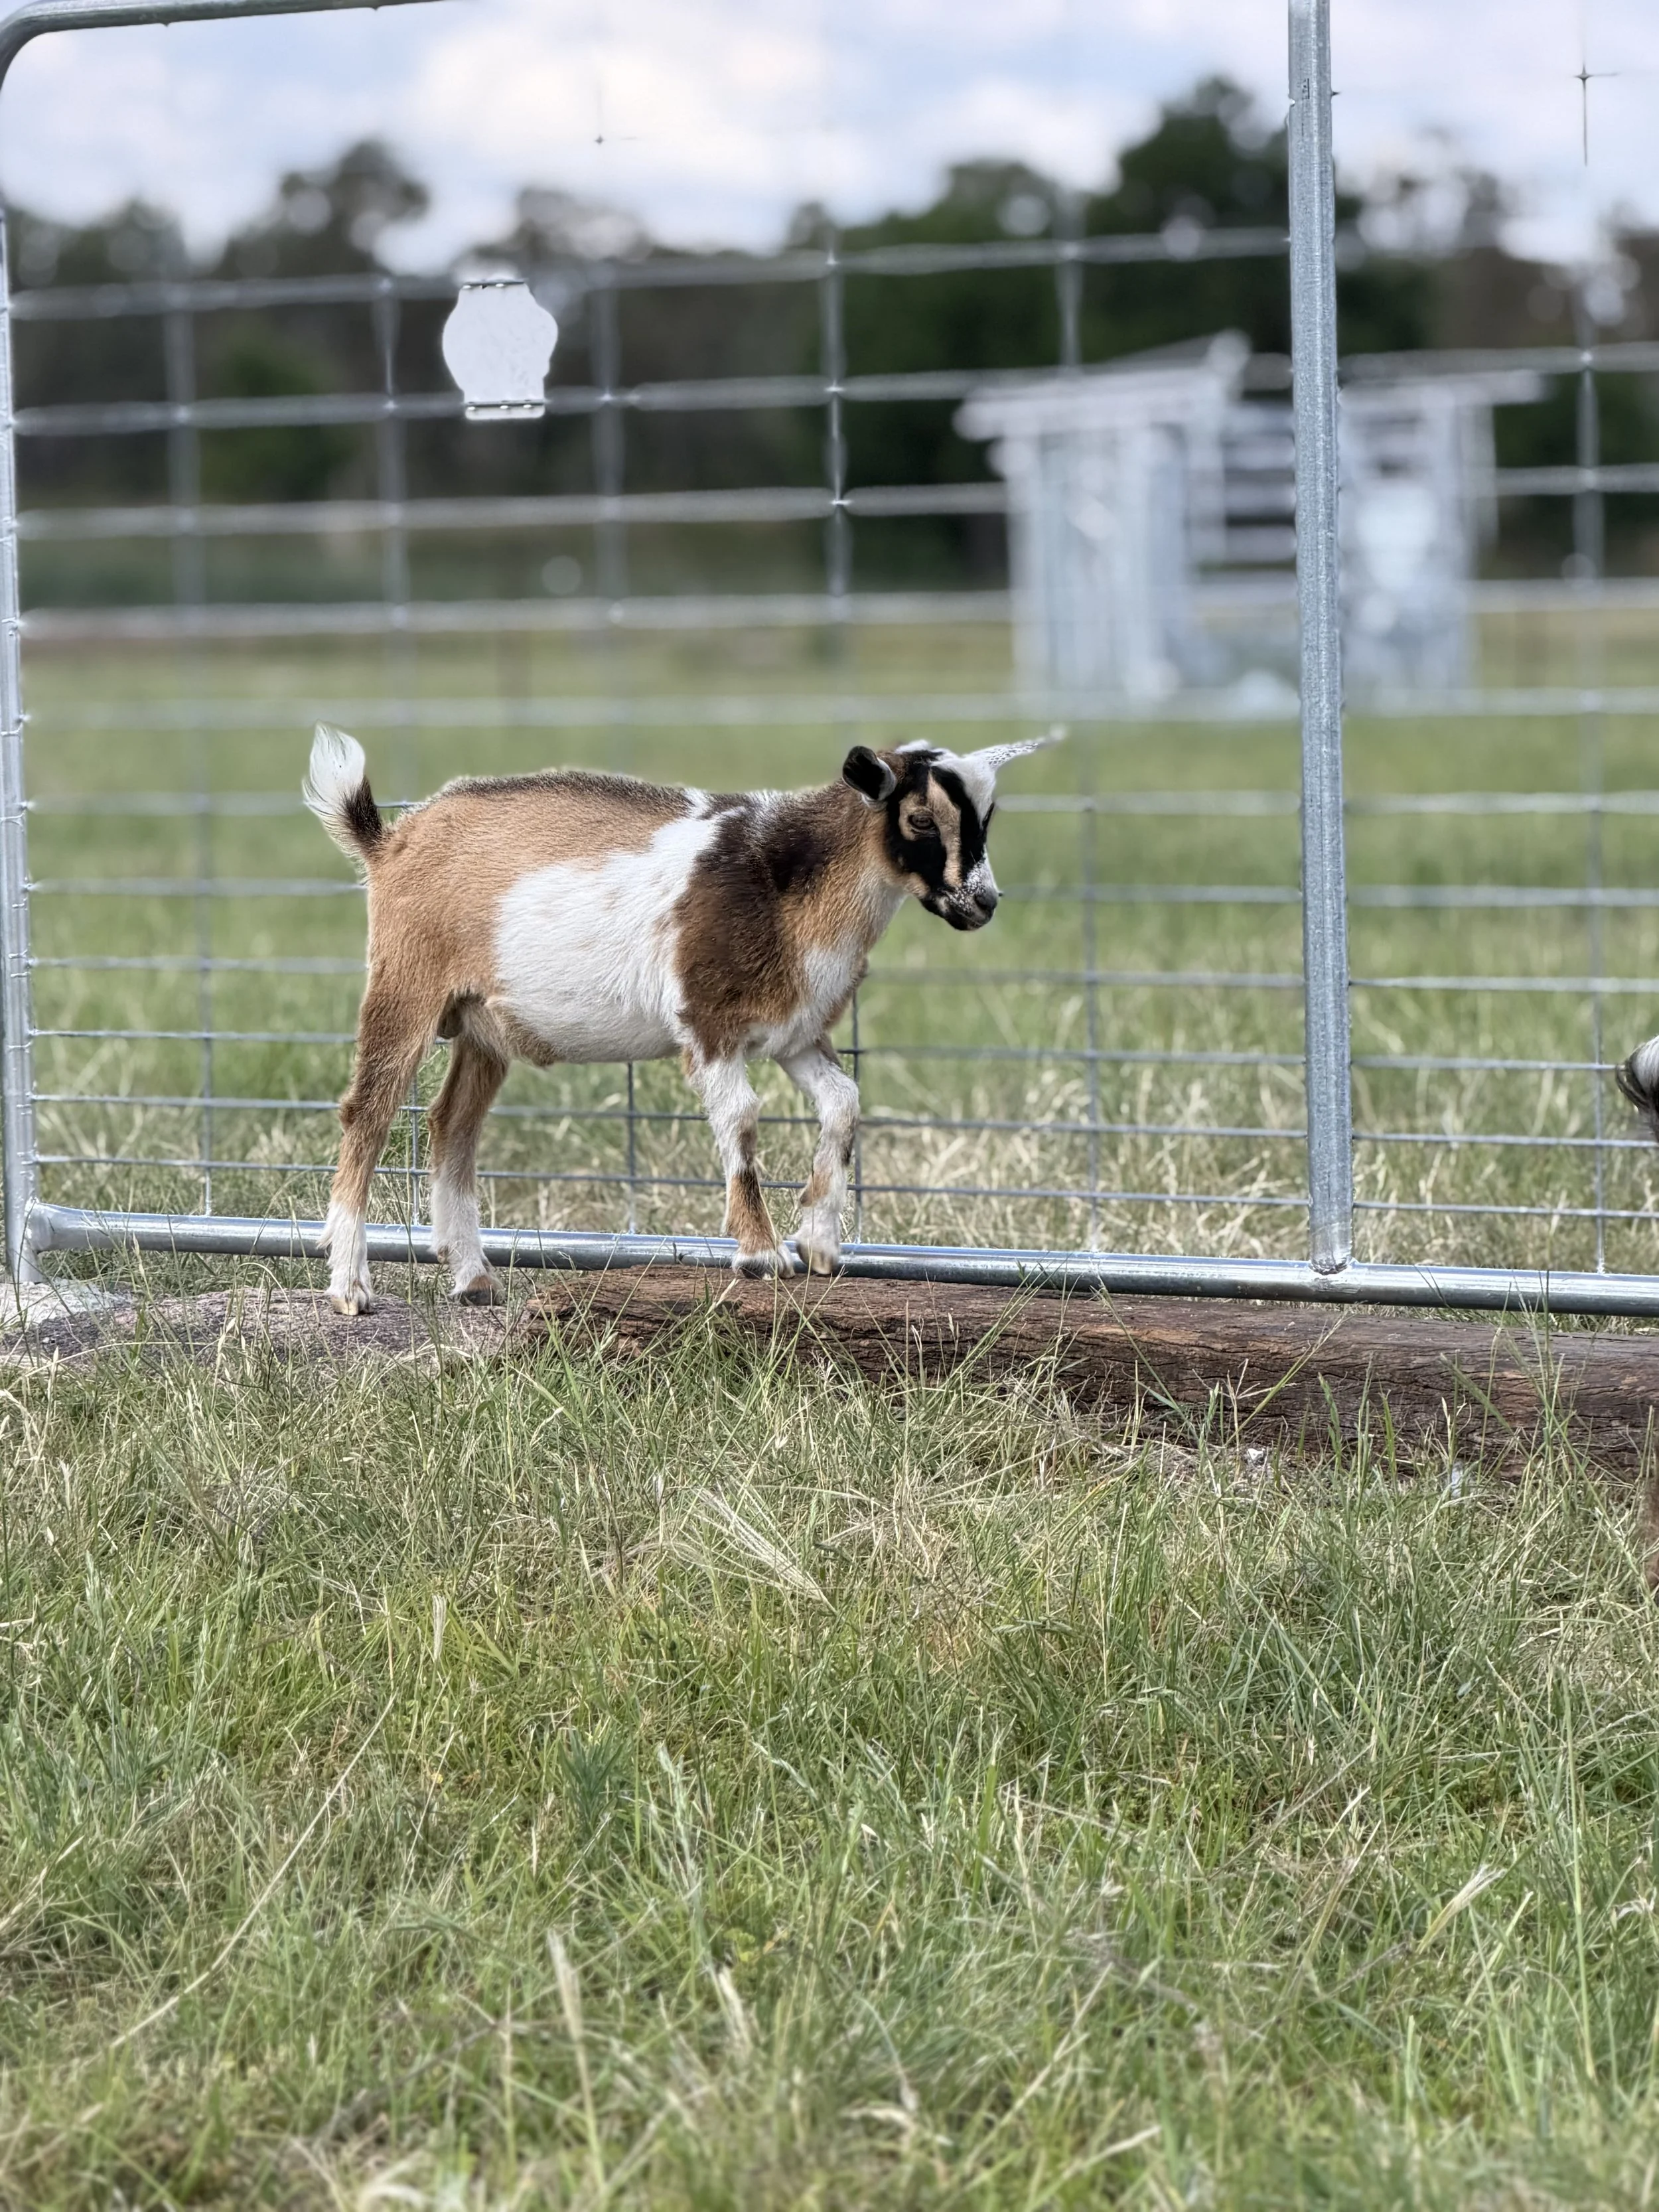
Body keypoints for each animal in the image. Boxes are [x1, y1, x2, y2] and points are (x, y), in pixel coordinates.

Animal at [303, 723, 1060, 1313]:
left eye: (986, 819)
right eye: (922, 820)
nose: (981, 903)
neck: (790, 882)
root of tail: (391, 840)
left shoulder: (796, 1033)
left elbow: (844, 1103)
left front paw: (819, 1241)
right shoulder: (709, 1023)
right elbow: (744, 1121)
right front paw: (761, 1255)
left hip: (484, 1025)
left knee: (451, 1124)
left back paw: (474, 1278)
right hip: (407, 982)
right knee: (368, 1115)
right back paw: (351, 1287)